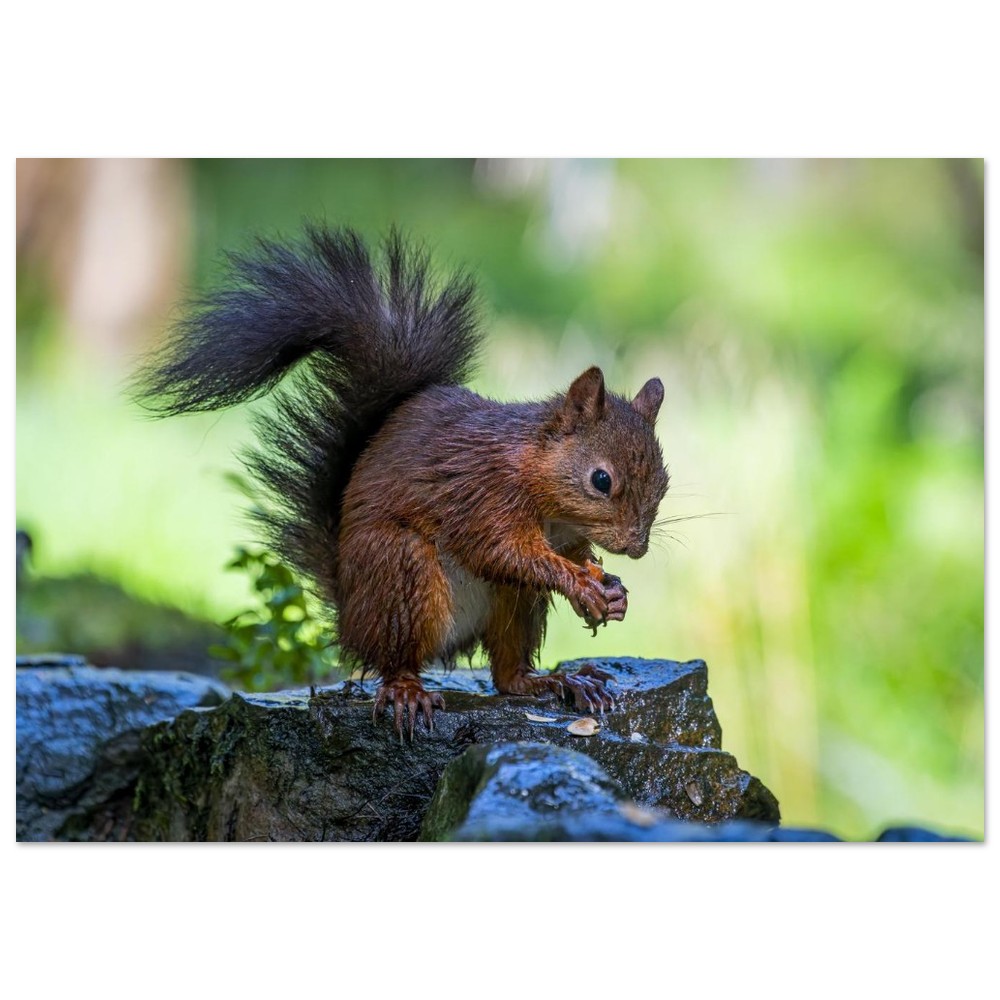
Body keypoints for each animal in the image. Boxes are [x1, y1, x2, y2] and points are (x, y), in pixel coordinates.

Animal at [135, 225, 670, 738]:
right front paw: (580, 583)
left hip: (513, 603)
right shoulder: (482, 495)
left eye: (664, 482)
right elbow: (504, 551)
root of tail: (349, 615)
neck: (540, 483)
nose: (637, 547)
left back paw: (557, 680)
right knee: (396, 659)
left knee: (507, 674)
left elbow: (569, 555)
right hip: (400, 573)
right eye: (601, 480)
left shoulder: (562, 532)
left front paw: (610, 589)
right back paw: (408, 691)